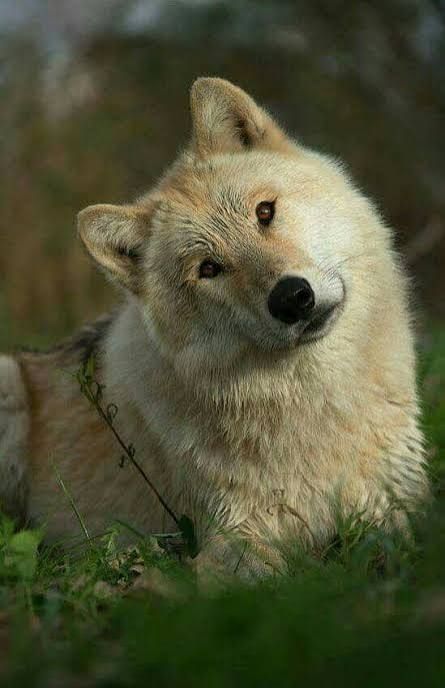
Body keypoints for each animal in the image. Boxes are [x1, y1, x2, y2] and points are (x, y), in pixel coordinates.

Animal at [0, 78, 428, 575]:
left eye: (264, 212)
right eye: (208, 269)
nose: (291, 297)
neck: (314, 400)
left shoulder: (400, 505)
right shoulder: (237, 532)